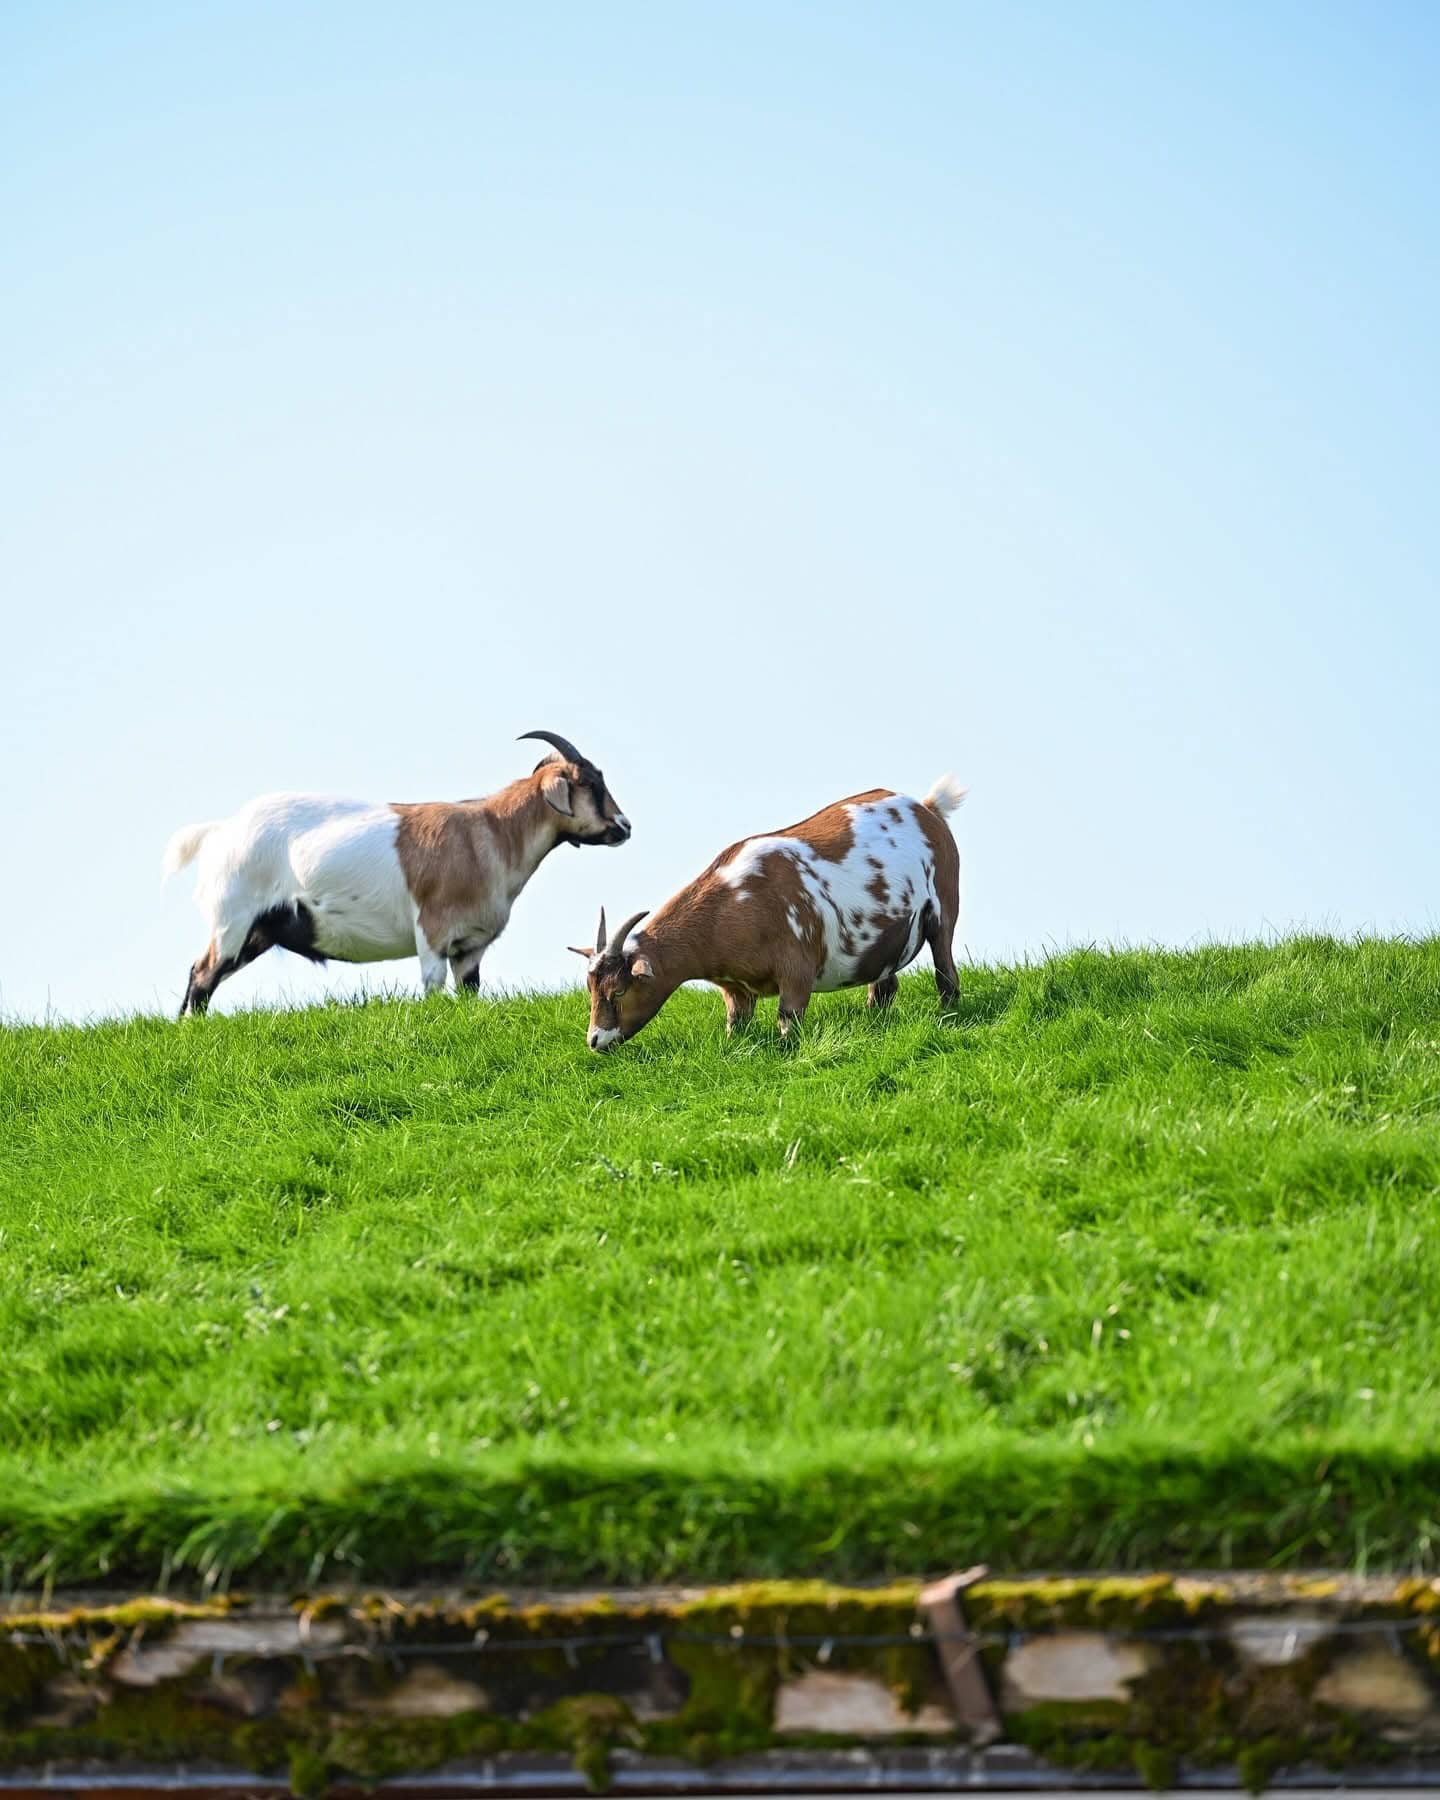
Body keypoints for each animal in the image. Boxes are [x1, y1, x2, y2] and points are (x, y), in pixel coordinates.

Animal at [164, 731, 631, 1016]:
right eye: (590, 784)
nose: (624, 826)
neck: (489, 833)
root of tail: (221, 831)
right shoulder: (433, 933)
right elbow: (432, 986)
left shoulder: (470, 947)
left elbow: (469, 991)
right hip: (233, 918)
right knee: (202, 975)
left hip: (259, 930)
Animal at [571, 775, 965, 1050]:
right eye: (591, 989)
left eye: (619, 991)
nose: (595, 1041)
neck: (731, 905)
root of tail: (927, 808)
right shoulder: (735, 989)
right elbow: (736, 1023)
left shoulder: (797, 970)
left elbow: (789, 1020)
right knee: (885, 984)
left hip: (944, 908)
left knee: (946, 970)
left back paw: (949, 1014)